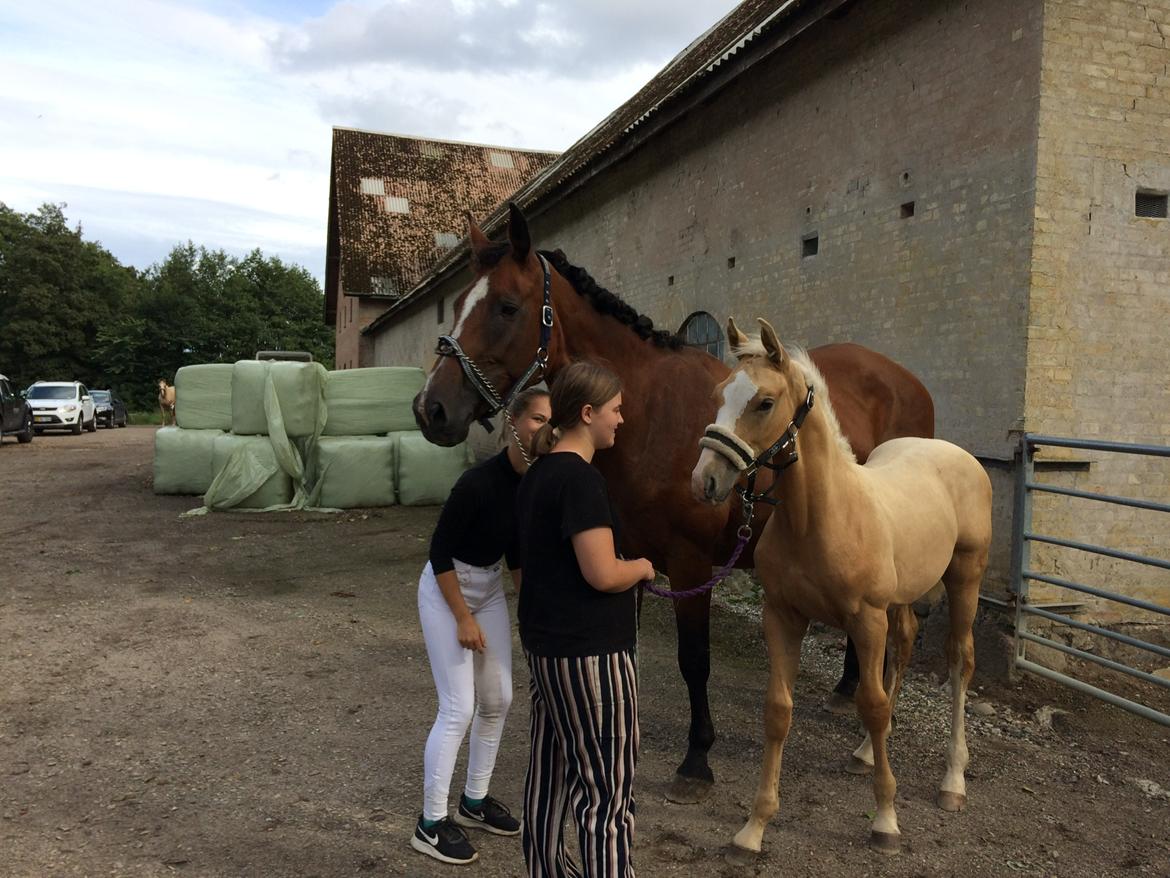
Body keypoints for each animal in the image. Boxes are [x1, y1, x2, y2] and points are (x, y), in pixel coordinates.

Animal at [411, 208, 931, 805]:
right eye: (456, 305)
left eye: (506, 307)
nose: (431, 408)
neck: (647, 413)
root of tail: (909, 382)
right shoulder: (623, 556)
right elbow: (626, 650)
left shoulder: (689, 564)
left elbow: (694, 660)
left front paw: (696, 759)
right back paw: (847, 687)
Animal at [687, 318, 992, 861]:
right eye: (721, 394)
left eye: (764, 402)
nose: (706, 481)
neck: (822, 518)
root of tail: (957, 454)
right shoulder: (782, 616)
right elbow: (779, 710)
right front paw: (753, 828)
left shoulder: (865, 620)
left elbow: (869, 703)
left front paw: (887, 821)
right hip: (901, 599)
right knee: (905, 646)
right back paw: (868, 751)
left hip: (965, 578)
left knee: (959, 661)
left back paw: (953, 780)